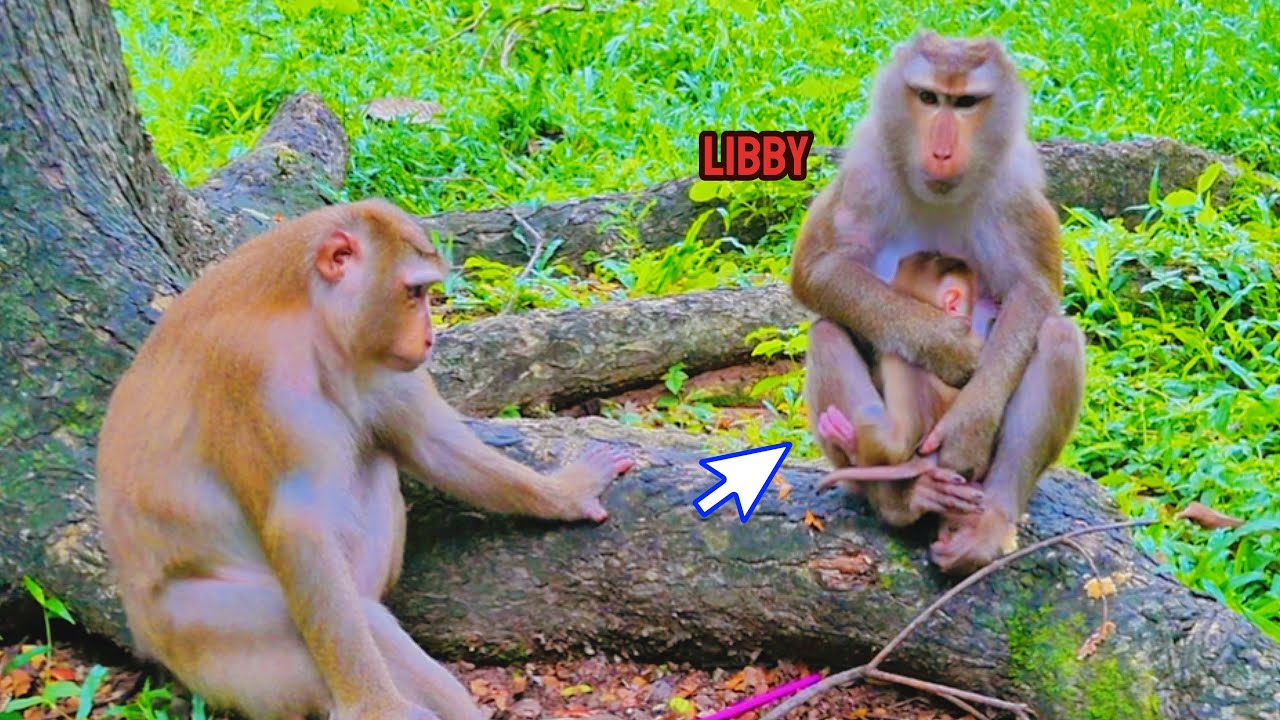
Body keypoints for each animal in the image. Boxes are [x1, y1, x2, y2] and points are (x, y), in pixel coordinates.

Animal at [95, 199, 635, 720]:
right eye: (414, 294)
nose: (430, 337)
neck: (309, 317)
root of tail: (146, 639)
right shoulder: (257, 377)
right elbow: (298, 527)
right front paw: (377, 706)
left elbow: (430, 443)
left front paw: (566, 493)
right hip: (205, 634)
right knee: (356, 620)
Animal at [793, 31, 1086, 574]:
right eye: (928, 97)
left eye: (965, 102)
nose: (943, 151)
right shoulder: (865, 168)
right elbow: (817, 270)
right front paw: (944, 345)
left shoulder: (1016, 183)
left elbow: (1033, 289)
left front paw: (970, 423)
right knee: (826, 331)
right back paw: (899, 497)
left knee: (1058, 337)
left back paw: (988, 520)